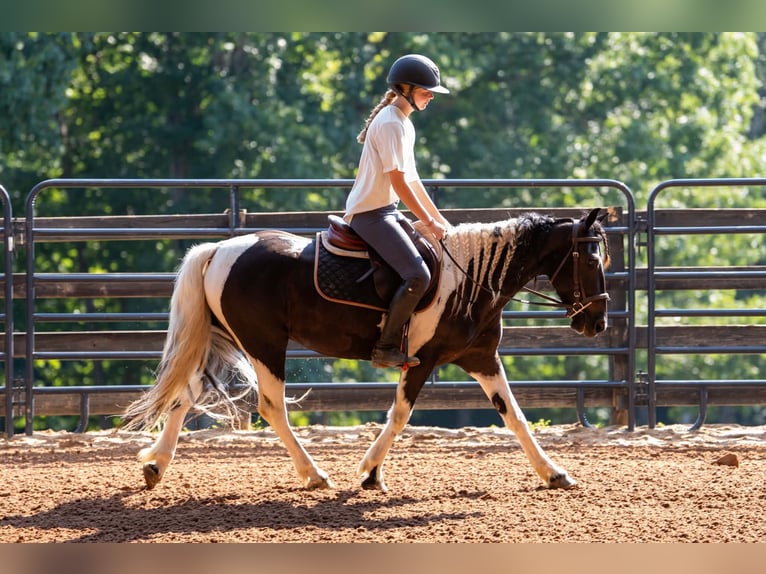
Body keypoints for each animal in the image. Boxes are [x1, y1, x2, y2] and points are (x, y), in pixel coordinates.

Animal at [123, 208, 610, 492]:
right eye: (590, 259)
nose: (597, 322)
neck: (470, 277)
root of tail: (220, 248)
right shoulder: (421, 360)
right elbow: (399, 416)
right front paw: (371, 472)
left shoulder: (481, 359)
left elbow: (515, 415)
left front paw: (554, 473)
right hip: (264, 344)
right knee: (271, 406)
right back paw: (314, 475)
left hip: (224, 338)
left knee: (186, 396)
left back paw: (156, 466)